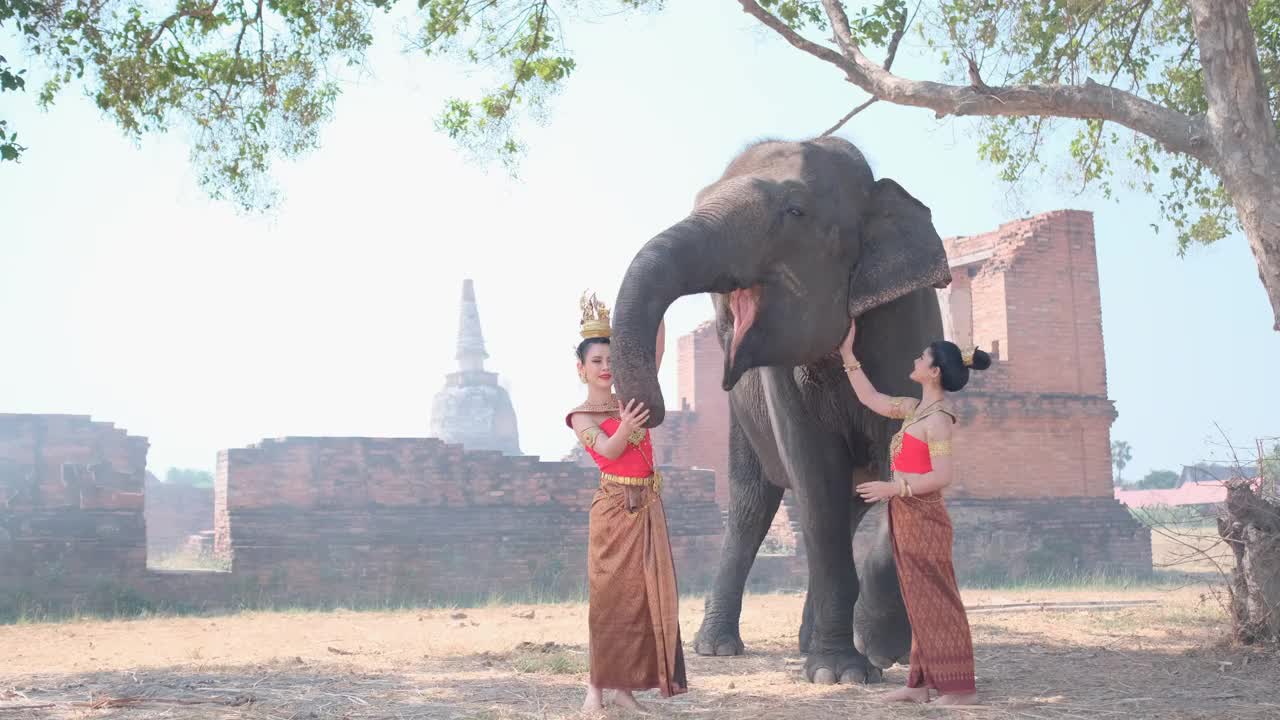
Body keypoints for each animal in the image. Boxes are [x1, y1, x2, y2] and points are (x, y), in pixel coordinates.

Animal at [609, 135, 952, 681]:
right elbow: (814, 474)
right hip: (741, 424)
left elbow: (898, 468)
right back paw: (721, 647)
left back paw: (815, 642)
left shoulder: (910, 325)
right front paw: (841, 673)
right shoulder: (778, 382)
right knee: (753, 505)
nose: (655, 410)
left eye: (795, 211)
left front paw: (879, 650)